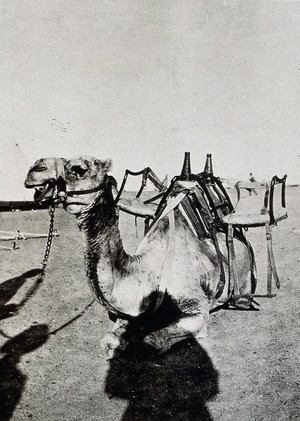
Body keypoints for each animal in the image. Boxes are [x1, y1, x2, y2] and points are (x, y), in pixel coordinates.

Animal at [24, 157, 256, 354]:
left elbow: (151, 342)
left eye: (79, 169)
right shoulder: (130, 308)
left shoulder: (197, 309)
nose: (36, 168)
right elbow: (111, 337)